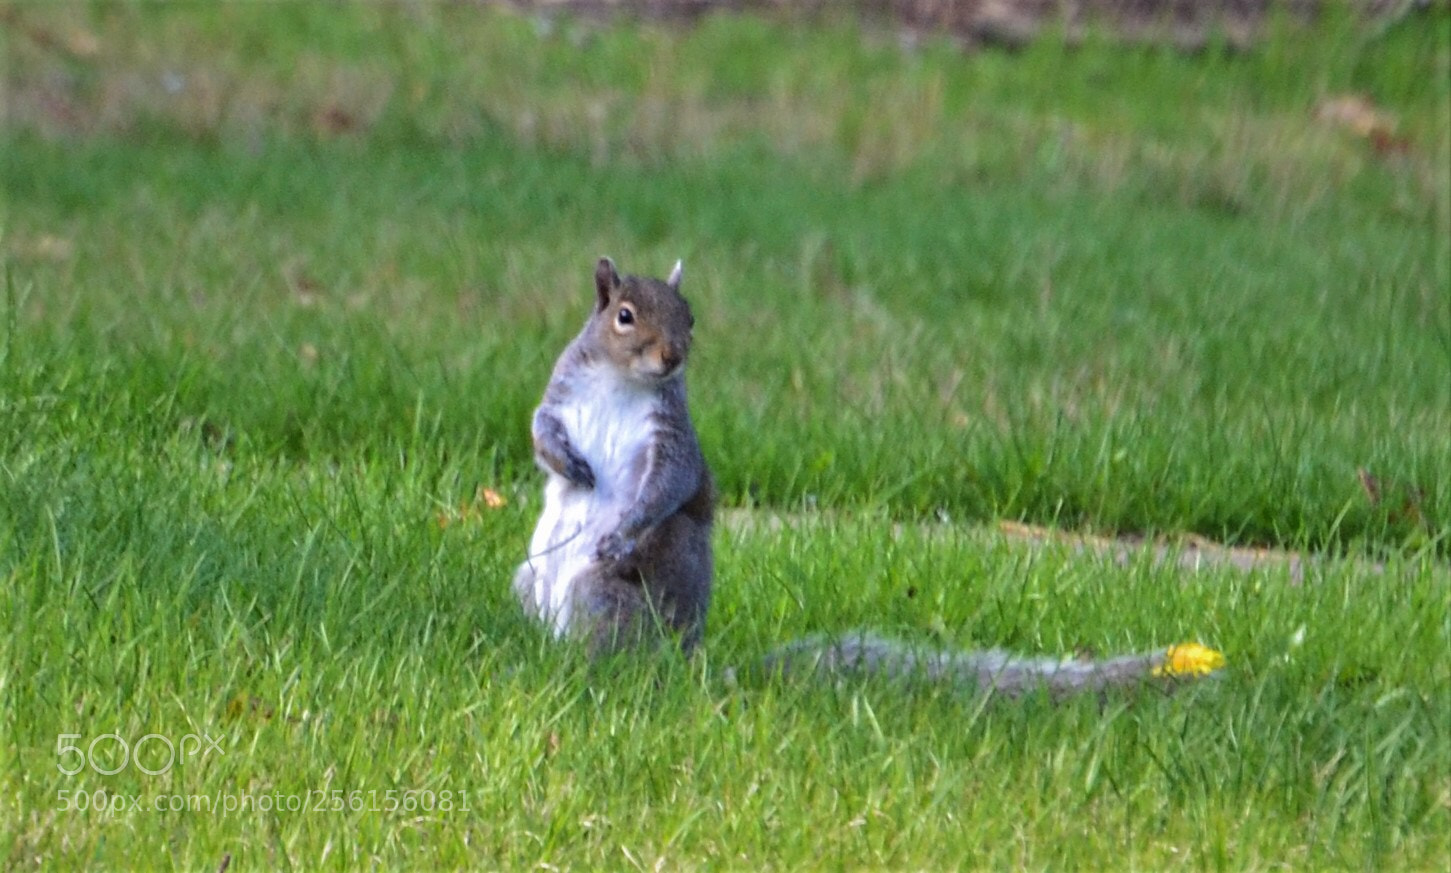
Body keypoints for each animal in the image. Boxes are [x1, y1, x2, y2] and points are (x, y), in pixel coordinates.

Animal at [515, 257, 1224, 696]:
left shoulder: (672, 439)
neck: (621, 380)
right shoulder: (562, 392)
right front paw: (568, 462)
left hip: (605, 599)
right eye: (625, 315)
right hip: (531, 582)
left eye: (691, 316)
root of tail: (687, 664)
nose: (673, 356)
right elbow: (540, 429)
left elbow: (666, 489)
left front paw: (623, 530)